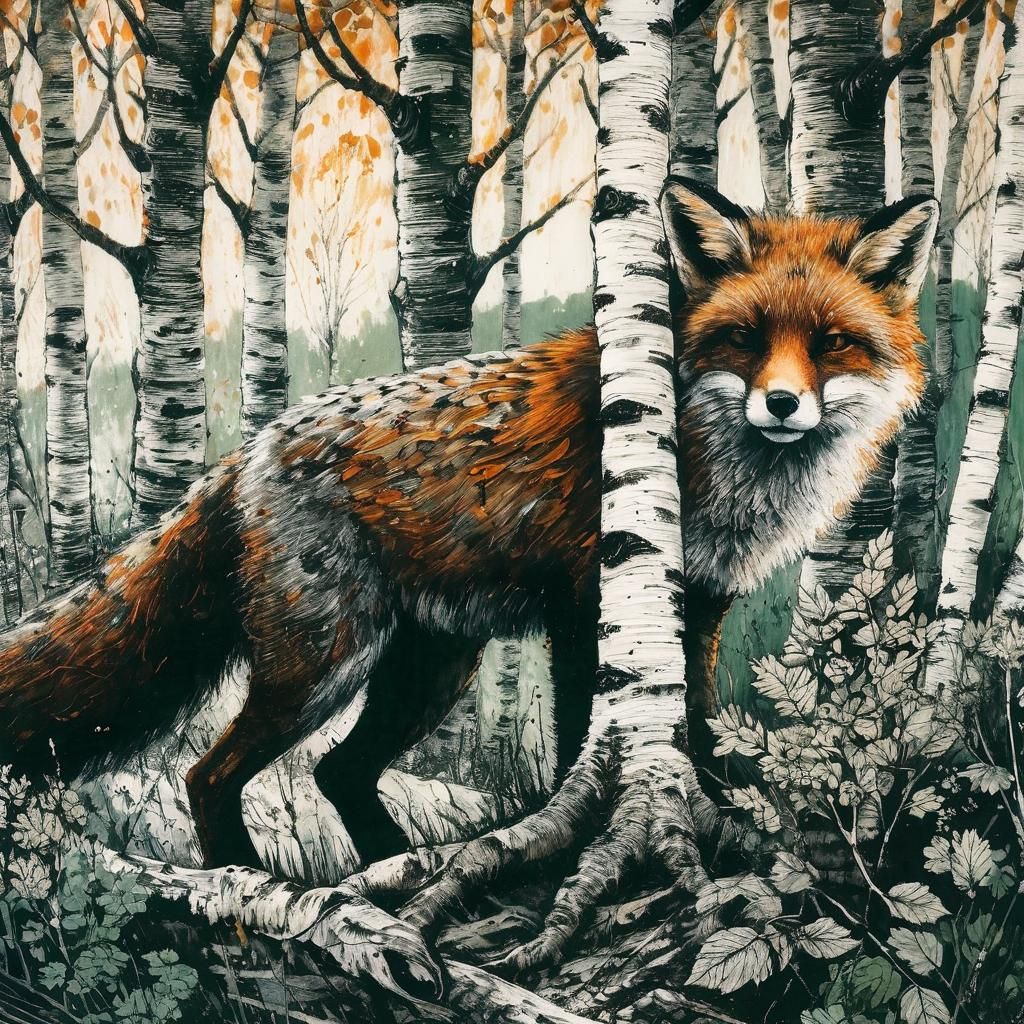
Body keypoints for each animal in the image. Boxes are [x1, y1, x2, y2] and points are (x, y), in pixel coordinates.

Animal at [0, 178, 937, 871]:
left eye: (831, 343)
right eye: (745, 338)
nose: (781, 404)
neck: (718, 473)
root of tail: (248, 453)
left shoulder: (700, 606)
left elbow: (697, 730)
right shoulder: (586, 604)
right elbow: (580, 739)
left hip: (429, 668)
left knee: (337, 772)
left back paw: (390, 870)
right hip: (323, 666)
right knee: (210, 773)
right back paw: (247, 877)